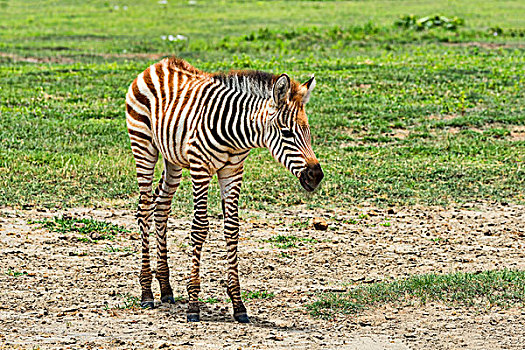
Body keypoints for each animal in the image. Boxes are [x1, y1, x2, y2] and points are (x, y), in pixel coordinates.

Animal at [126, 57, 324, 322]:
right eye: (287, 132)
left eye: (308, 132)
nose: (316, 176)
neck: (236, 135)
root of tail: (158, 65)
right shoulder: (200, 168)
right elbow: (199, 228)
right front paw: (193, 305)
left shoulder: (233, 171)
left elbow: (232, 230)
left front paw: (238, 304)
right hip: (143, 146)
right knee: (145, 209)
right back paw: (147, 292)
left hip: (173, 159)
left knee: (161, 209)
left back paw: (166, 289)